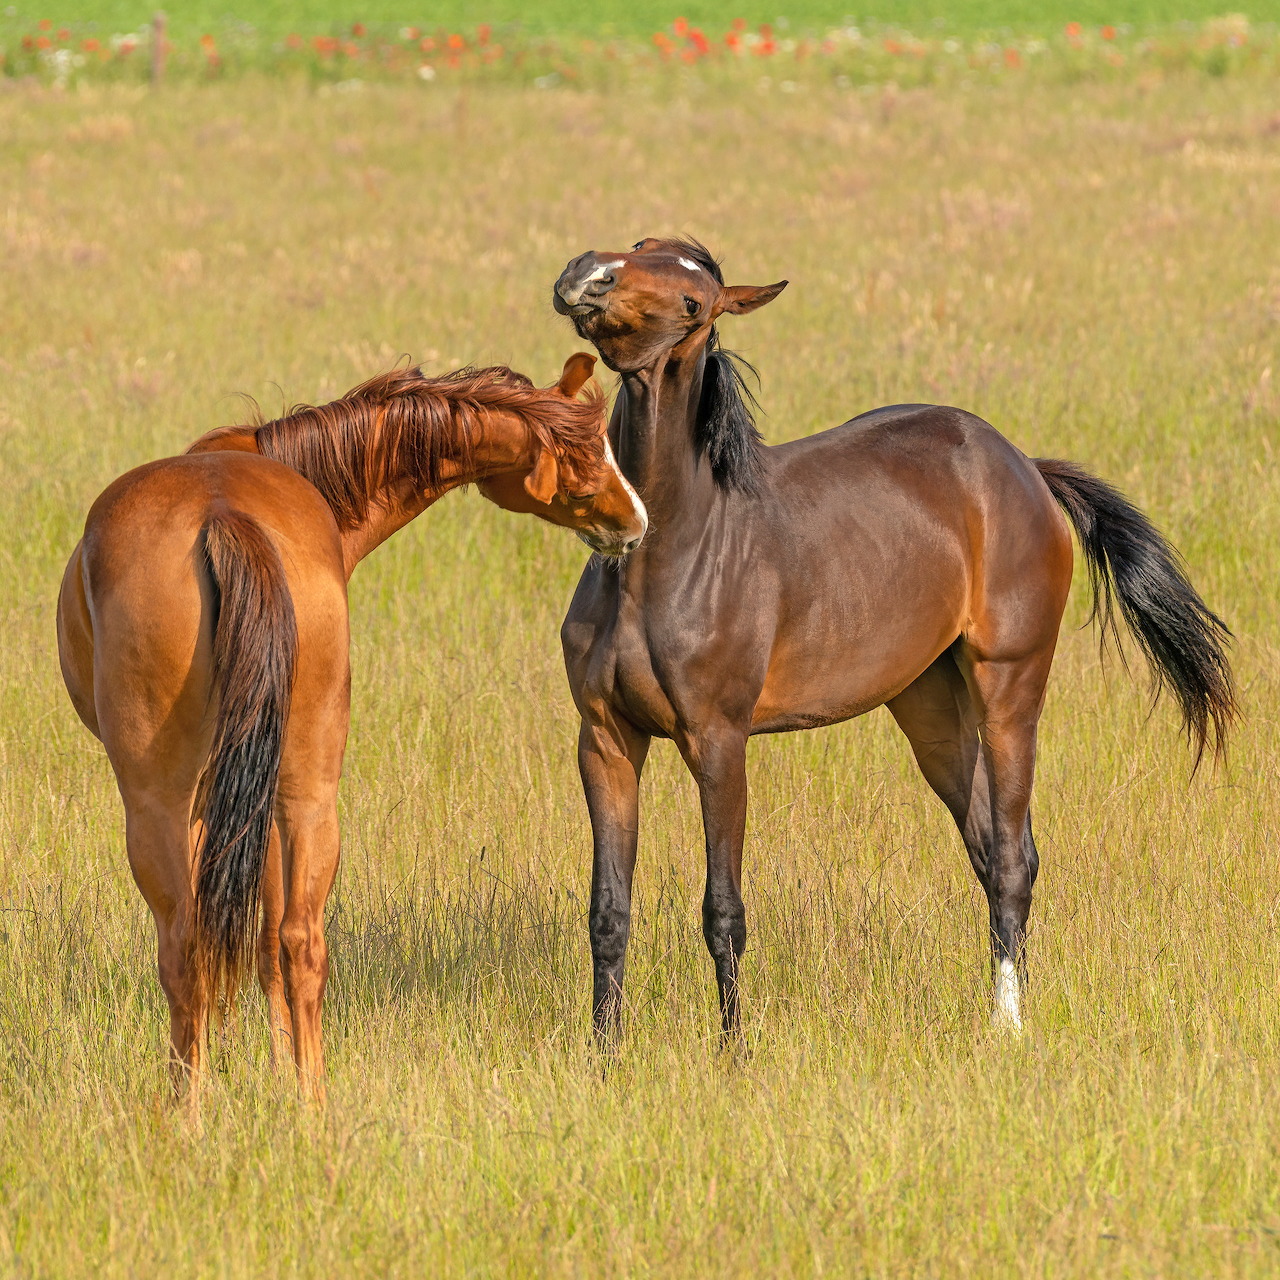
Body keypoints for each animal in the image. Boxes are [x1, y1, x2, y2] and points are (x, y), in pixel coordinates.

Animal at [57, 353, 647, 1103]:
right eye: (585, 458)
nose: (635, 520)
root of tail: (223, 514)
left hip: (165, 803)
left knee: (192, 949)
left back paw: (193, 1109)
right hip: (305, 793)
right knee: (298, 941)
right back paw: (308, 1106)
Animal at [552, 237, 1236, 1043]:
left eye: (695, 304)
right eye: (641, 245)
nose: (588, 277)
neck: (665, 556)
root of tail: (1026, 469)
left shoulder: (718, 741)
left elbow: (723, 910)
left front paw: (733, 1051)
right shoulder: (606, 740)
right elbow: (608, 912)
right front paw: (605, 1051)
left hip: (1010, 692)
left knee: (1013, 859)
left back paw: (1008, 1025)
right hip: (931, 711)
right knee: (989, 847)